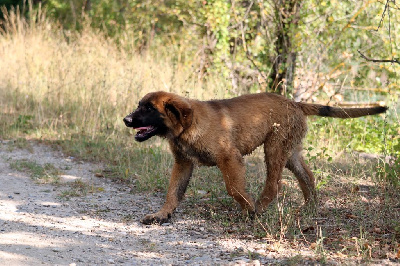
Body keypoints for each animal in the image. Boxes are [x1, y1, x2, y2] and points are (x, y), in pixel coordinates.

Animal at [122, 91, 388, 224]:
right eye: (139, 105)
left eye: (149, 109)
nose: (126, 119)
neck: (188, 126)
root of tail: (294, 102)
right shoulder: (183, 163)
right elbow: (173, 192)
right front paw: (161, 215)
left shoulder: (229, 158)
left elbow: (234, 189)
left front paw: (248, 209)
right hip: (290, 152)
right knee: (308, 177)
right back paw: (310, 207)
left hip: (274, 148)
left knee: (274, 185)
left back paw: (259, 208)